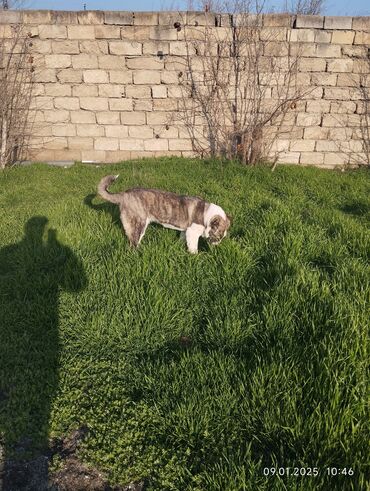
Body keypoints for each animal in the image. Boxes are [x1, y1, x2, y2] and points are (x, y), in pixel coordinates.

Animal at [98, 175, 231, 254]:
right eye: (218, 237)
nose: (216, 249)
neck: (206, 216)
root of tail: (124, 194)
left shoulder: (185, 231)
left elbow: (182, 238)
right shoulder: (192, 233)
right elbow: (193, 247)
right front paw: (195, 256)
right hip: (138, 224)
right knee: (134, 243)